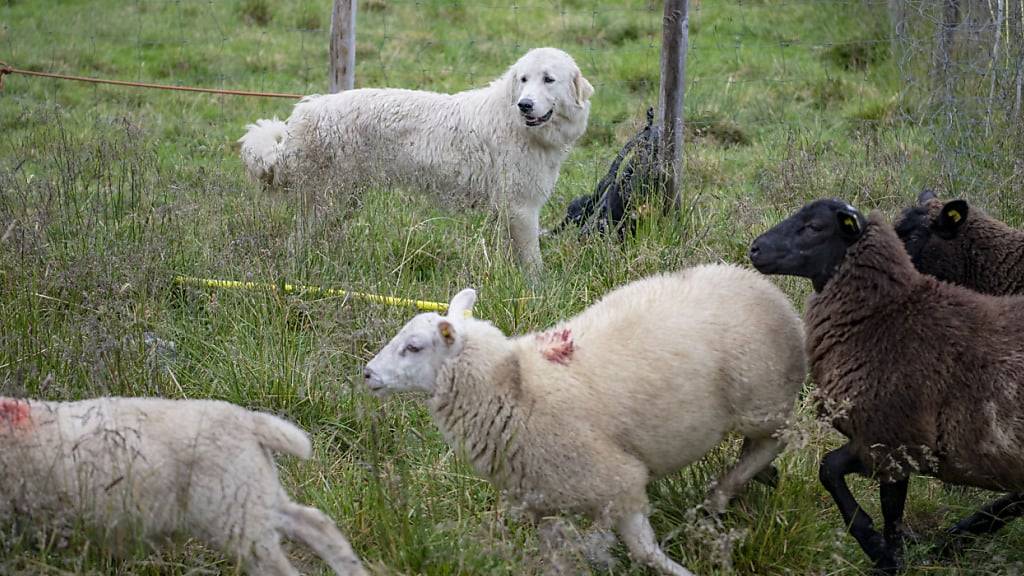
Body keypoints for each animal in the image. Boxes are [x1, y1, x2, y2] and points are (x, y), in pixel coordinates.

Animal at [0, 393, 368, 573]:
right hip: (248, 494)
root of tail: (248, 421)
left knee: (278, 566)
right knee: (314, 523)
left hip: (233, 510)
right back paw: (352, 569)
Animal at [238, 47, 593, 268]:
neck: (513, 120)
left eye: (548, 79)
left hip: (342, 202)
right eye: (523, 80)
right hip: (331, 201)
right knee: (296, 241)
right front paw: (537, 292)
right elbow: (533, 264)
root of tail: (306, 110)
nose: (525, 105)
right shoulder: (521, 209)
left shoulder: (510, 211)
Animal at [364, 264, 802, 573]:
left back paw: (722, 493)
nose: (367, 374)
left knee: (775, 440)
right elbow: (563, 560)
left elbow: (644, 553)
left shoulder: (618, 484)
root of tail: (758, 283)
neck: (516, 387)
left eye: (413, 347)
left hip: (763, 399)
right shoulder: (545, 502)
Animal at [749, 196, 1024, 569]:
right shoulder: (878, 442)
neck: (885, 315)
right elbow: (830, 470)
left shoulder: (893, 439)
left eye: (816, 226)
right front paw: (879, 545)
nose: (755, 249)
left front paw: (884, 554)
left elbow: (889, 510)